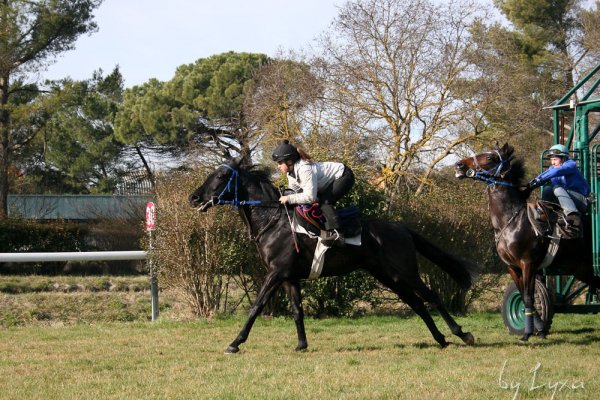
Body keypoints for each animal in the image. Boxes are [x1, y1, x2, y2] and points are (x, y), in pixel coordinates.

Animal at [190, 160, 476, 354]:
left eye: (221, 175)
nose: (193, 197)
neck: (273, 221)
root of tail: (402, 228)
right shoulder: (289, 277)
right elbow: (297, 311)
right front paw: (301, 344)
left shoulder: (275, 273)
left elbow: (256, 307)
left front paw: (235, 343)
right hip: (388, 276)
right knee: (417, 303)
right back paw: (440, 339)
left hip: (405, 271)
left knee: (431, 296)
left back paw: (462, 334)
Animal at [454, 142, 600, 340]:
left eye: (491, 157)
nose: (459, 165)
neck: (511, 221)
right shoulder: (512, 267)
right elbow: (524, 296)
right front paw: (539, 329)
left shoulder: (528, 263)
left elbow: (530, 297)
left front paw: (529, 332)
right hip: (582, 269)